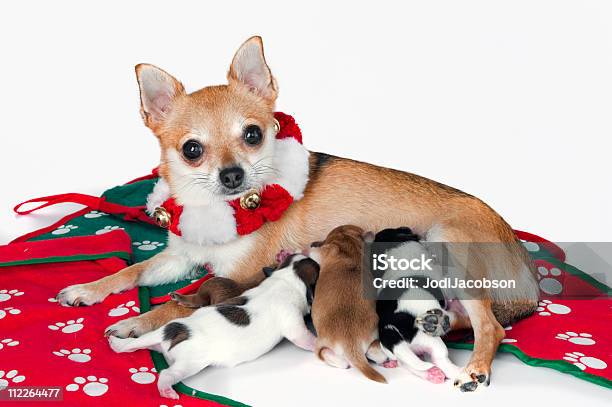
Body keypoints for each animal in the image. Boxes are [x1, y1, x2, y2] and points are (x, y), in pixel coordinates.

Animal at [108, 256, 318, 400]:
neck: (286, 278)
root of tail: (173, 334)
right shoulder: (293, 323)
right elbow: (303, 337)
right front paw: (317, 344)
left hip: (159, 333)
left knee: (132, 343)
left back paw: (117, 344)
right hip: (189, 364)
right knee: (167, 374)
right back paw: (166, 390)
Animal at [306, 225, 388, 384]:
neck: (348, 242)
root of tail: (351, 343)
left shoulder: (322, 252)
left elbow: (311, 252)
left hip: (320, 345)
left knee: (329, 356)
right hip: (374, 339)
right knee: (377, 354)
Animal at [372, 230, 460, 386]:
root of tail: (390, 326)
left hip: (396, 351)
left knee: (408, 364)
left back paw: (431, 374)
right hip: (431, 341)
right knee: (441, 360)